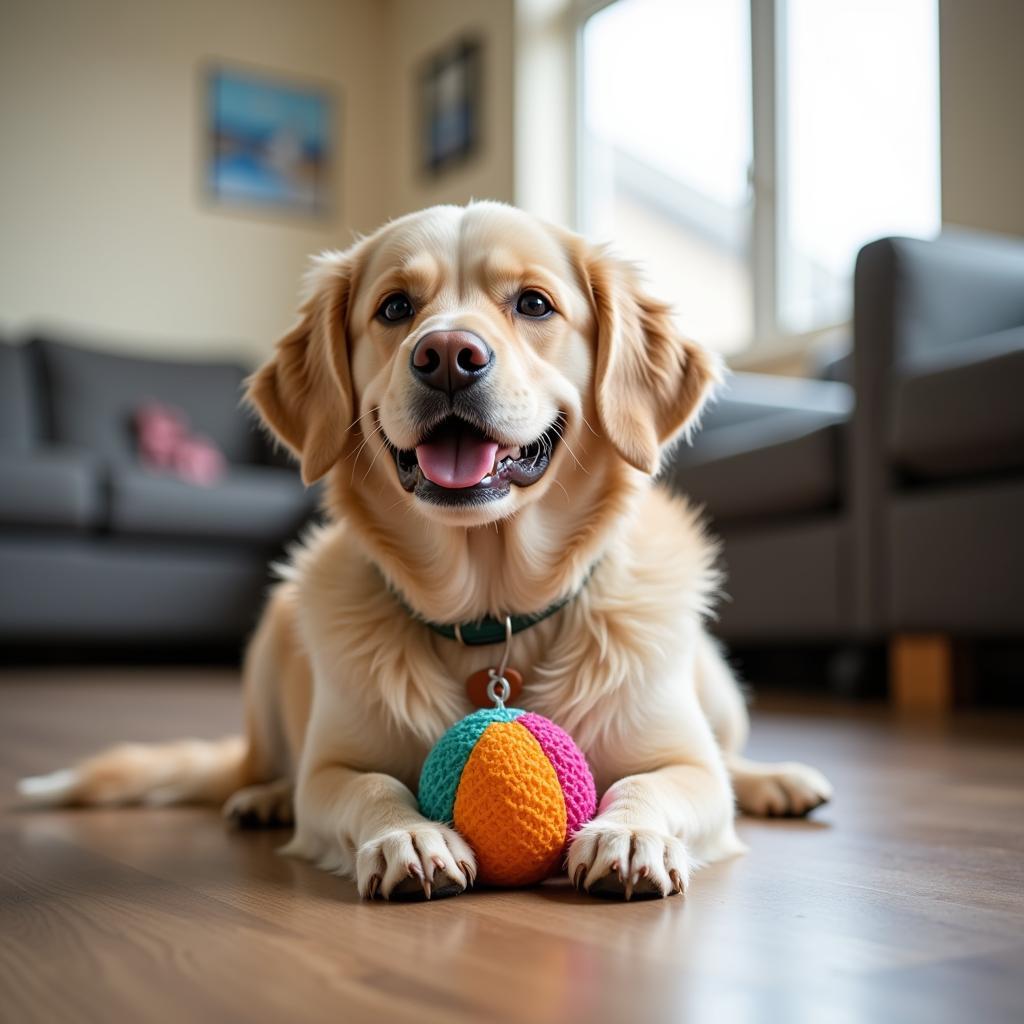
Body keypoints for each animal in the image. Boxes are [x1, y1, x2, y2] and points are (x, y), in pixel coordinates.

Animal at [18, 203, 831, 901]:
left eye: (534, 304)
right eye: (394, 309)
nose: (446, 355)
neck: (494, 613)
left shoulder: (684, 762)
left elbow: (656, 782)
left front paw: (629, 835)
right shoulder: (334, 769)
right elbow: (370, 785)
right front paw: (409, 837)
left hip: (714, 680)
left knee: (730, 757)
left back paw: (775, 780)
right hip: (275, 633)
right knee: (273, 767)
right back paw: (266, 795)